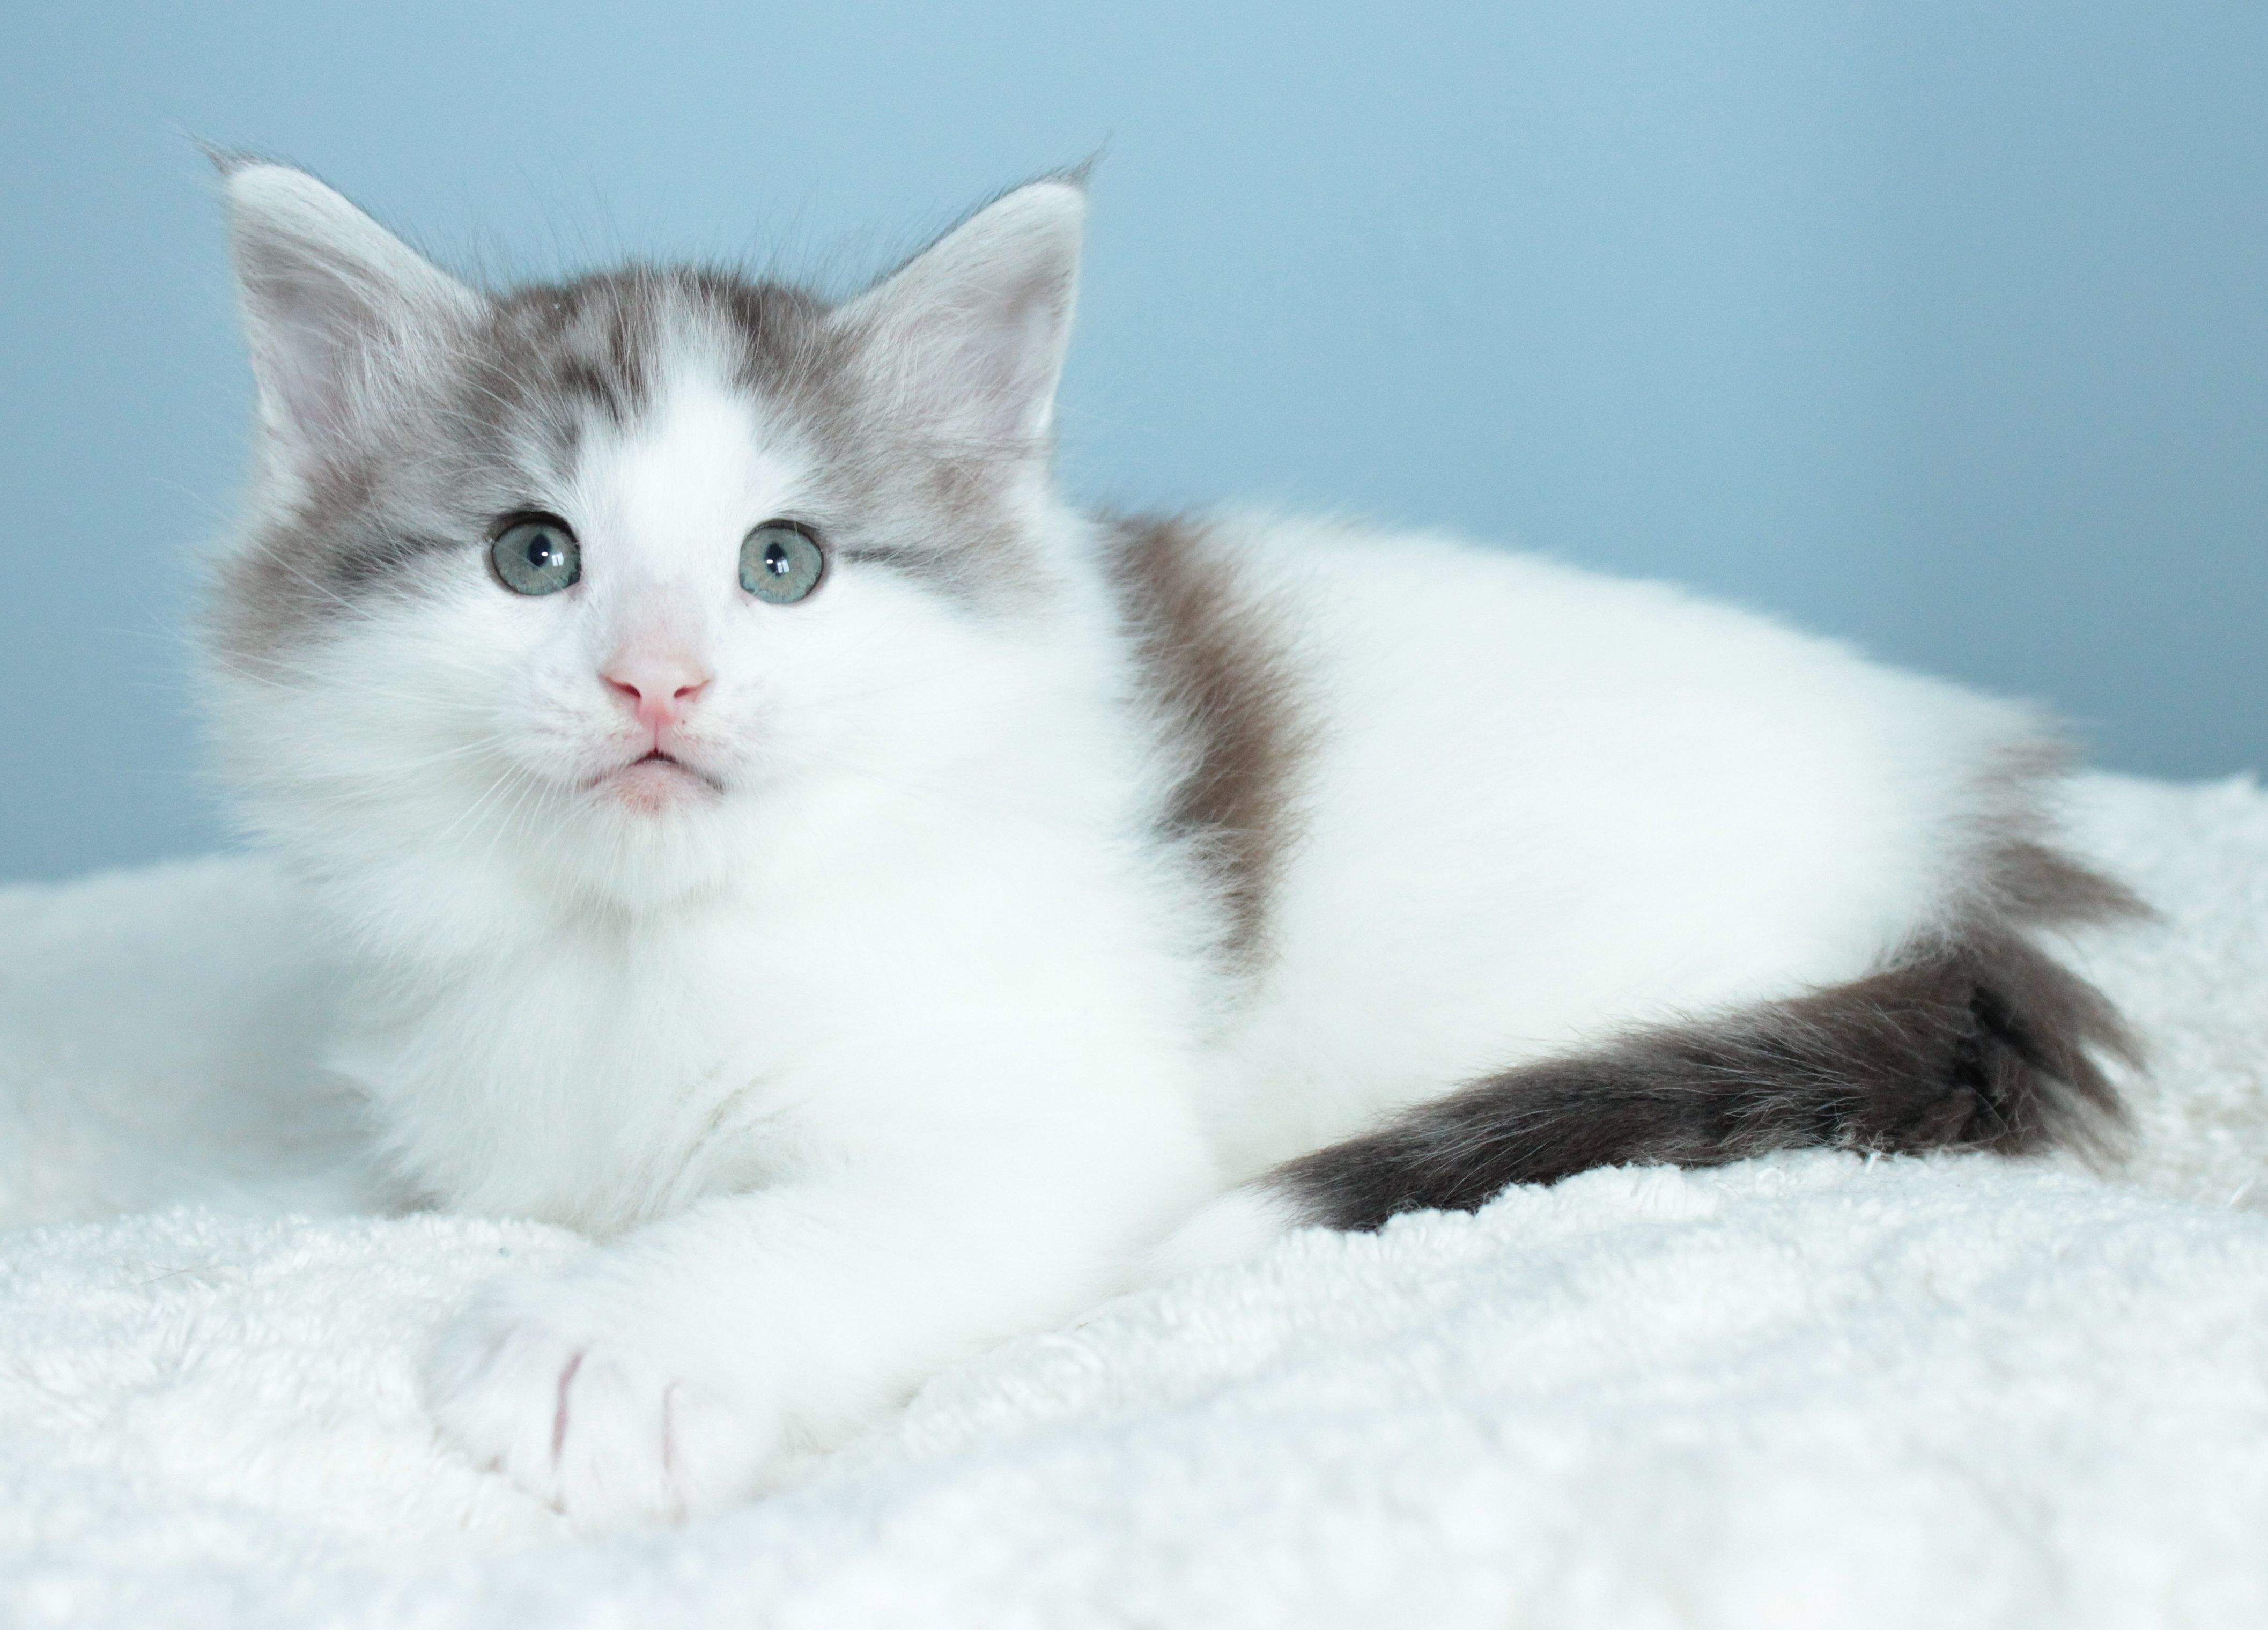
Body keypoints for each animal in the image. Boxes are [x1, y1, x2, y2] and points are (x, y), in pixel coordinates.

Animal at [204, 162, 2132, 1532]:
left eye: (781, 563)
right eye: (533, 555)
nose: (654, 675)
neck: (635, 937)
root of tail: (1974, 811)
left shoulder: (1046, 1127)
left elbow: (818, 1220)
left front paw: (602, 1346)